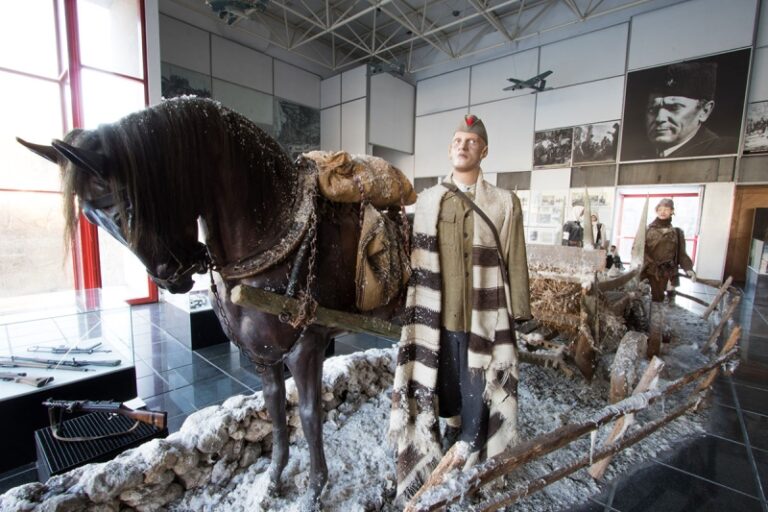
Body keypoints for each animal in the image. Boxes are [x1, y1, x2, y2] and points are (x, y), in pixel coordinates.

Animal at [18, 97, 400, 512]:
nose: (170, 278)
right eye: (94, 219)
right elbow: (275, 409)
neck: (275, 234)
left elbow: (310, 415)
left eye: (127, 207)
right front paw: (274, 480)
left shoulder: (307, 346)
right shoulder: (262, 354)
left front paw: (314, 491)